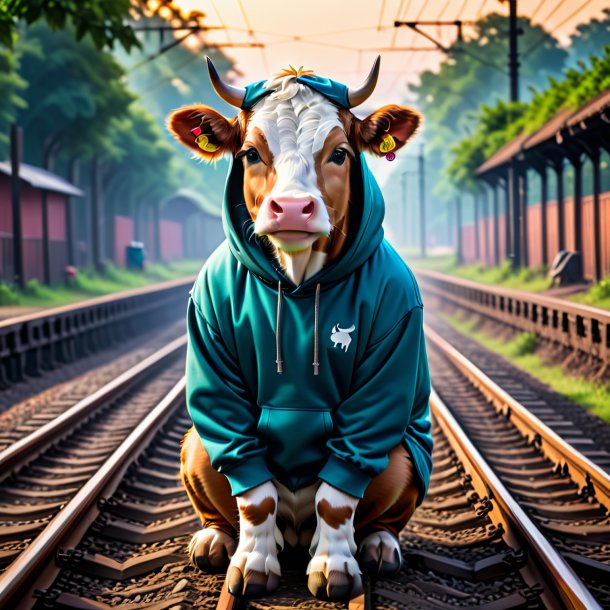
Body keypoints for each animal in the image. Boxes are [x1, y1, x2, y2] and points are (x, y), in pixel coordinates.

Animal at [167, 57, 432, 600]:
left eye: (339, 153)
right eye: (250, 153)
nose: (291, 208)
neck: (297, 280)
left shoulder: (397, 327)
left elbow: (336, 497)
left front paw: (336, 567)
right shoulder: (207, 322)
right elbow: (256, 497)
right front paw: (252, 564)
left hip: (403, 454)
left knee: (381, 500)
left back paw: (377, 546)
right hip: (195, 444)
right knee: (214, 470)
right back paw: (216, 540)